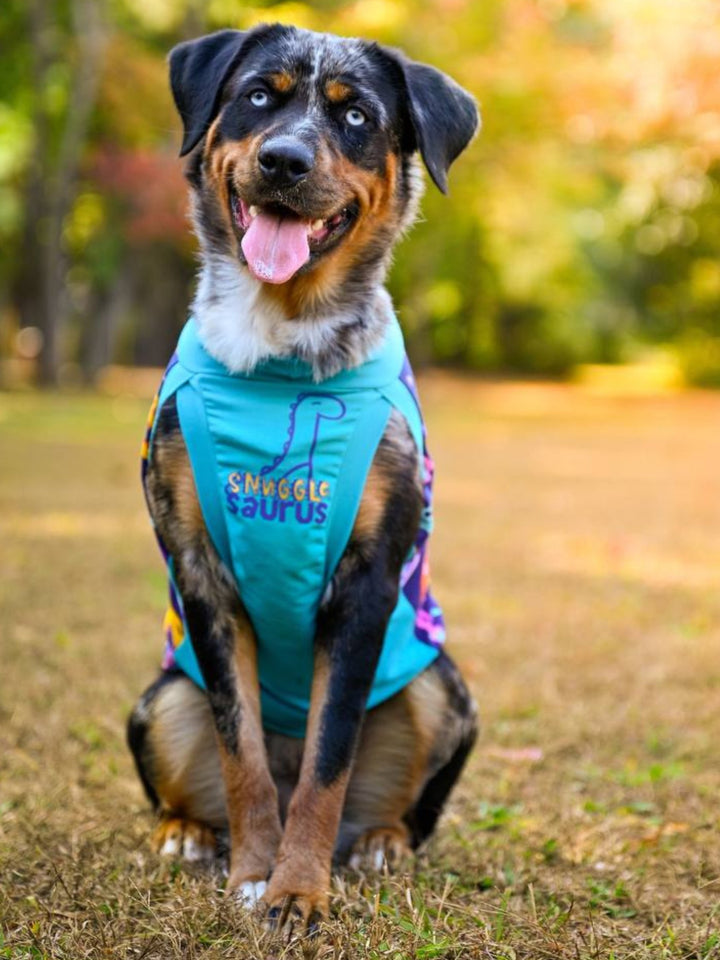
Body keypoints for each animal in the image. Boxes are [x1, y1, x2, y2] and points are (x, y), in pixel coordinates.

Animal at [127, 26, 480, 932]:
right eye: (259, 95)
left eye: (356, 115)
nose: (284, 160)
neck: (280, 350)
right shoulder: (201, 574)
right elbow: (242, 748)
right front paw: (256, 872)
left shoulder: (367, 584)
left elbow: (327, 759)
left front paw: (298, 889)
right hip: (157, 699)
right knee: (202, 772)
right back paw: (187, 832)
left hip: (443, 688)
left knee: (382, 798)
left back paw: (380, 842)